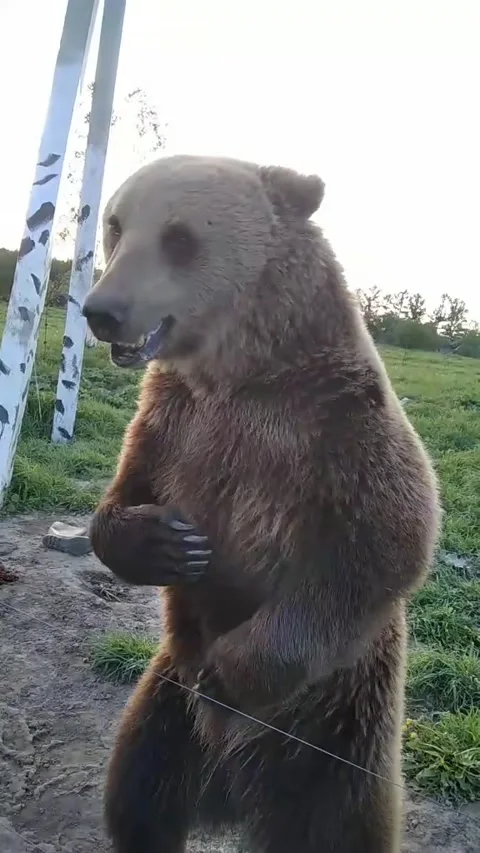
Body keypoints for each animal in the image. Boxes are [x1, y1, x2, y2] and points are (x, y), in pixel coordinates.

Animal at [83, 154, 441, 853]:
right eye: (115, 224)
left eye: (179, 236)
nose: (100, 310)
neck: (234, 372)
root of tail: (233, 788)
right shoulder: (171, 422)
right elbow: (125, 494)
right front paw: (169, 544)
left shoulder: (333, 425)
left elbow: (385, 543)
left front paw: (228, 673)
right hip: (166, 708)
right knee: (141, 792)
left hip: (338, 733)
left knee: (337, 824)